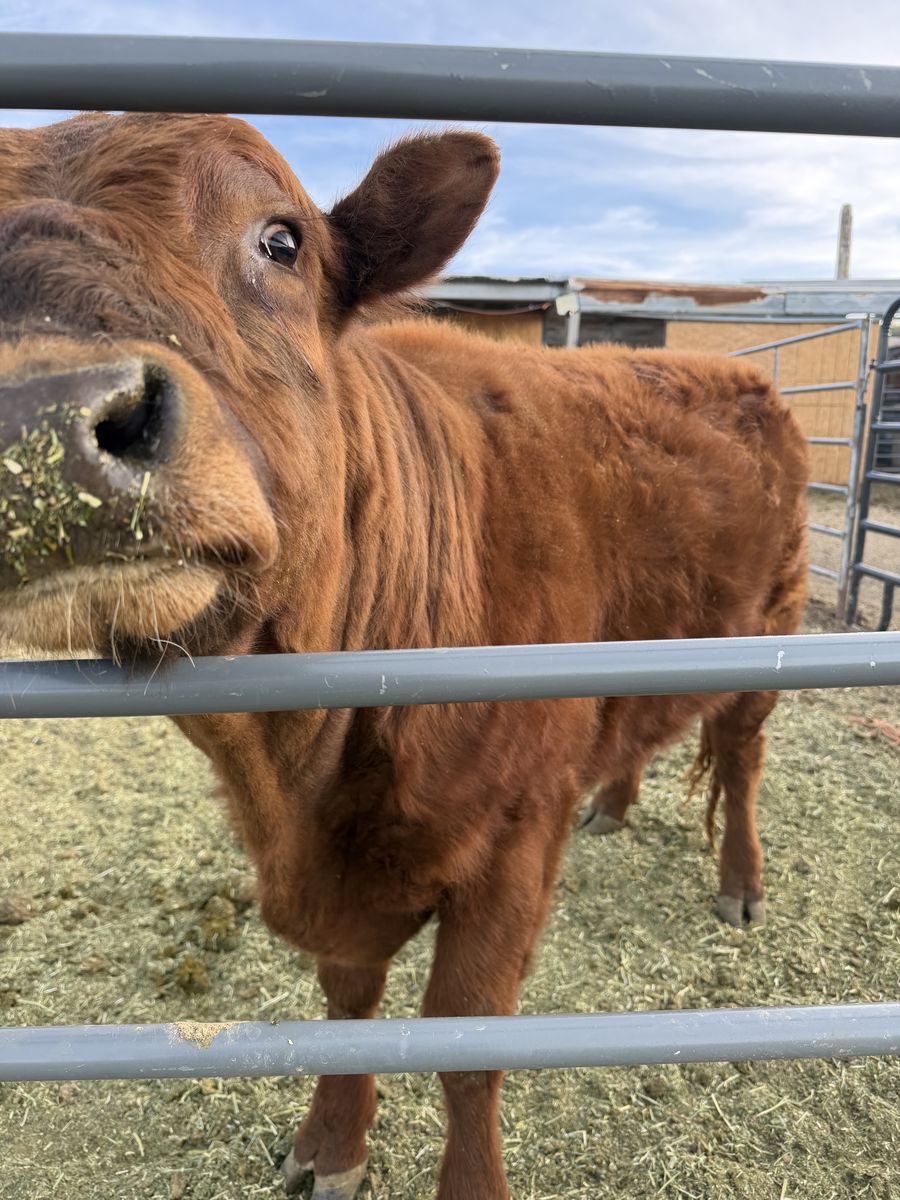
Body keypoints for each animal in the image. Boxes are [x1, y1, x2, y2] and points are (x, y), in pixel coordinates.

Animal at [0, 112, 808, 1200]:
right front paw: (332, 1142)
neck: (300, 771)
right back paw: (612, 802)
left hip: (771, 636)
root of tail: (747, 375)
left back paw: (740, 882)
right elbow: (349, 1006)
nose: (41, 419)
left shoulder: (512, 841)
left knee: (744, 761)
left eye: (283, 240)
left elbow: (465, 1044)